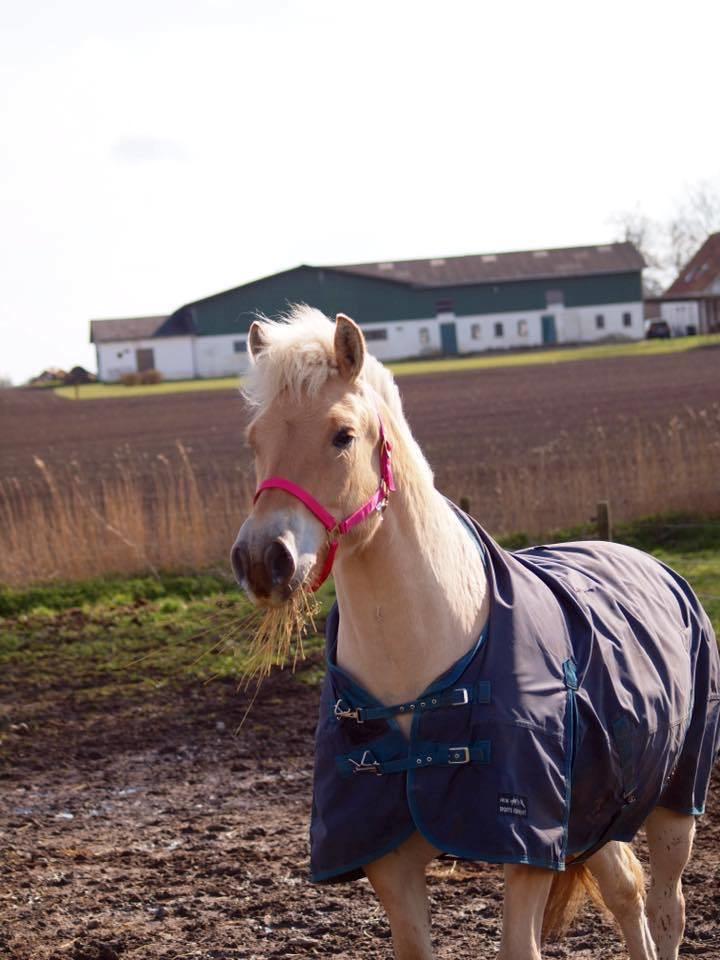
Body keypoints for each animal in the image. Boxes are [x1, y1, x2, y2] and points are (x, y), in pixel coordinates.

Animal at [232, 308, 720, 960]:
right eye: (254, 441)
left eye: (342, 435)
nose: (264, 560)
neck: (421, 657)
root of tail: (653, 564)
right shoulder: (390, 863)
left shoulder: (528, 850)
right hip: (597, 815)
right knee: (627, 894)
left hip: (674, 805)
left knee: (668, 907)